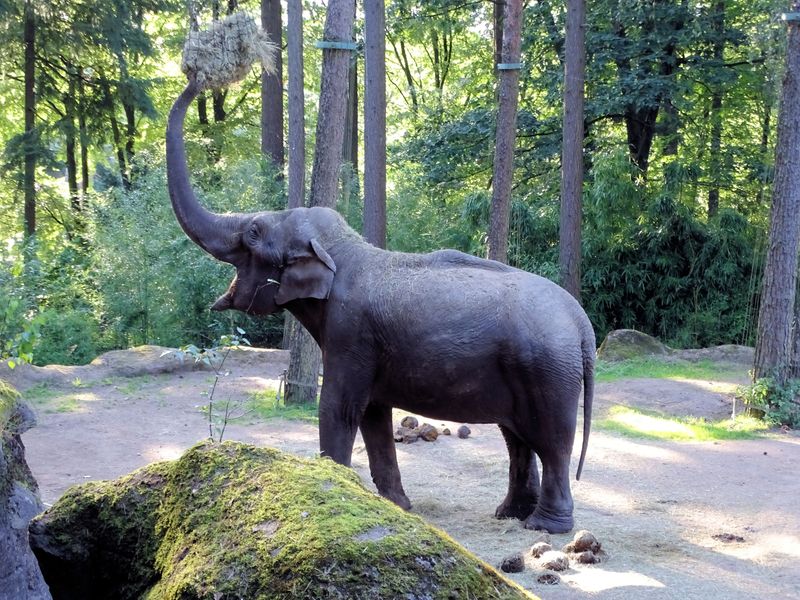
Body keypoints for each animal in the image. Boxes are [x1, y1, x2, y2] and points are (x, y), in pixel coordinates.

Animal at [166, 80, 595, 534]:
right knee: (517, 436)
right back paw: (511, 514)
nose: (197, 78)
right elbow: (373, 413)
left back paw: (544, 527)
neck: (343, 248)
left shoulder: (350, 332)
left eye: (252, 231)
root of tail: (581, 323)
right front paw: (398, 507)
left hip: (547, 371)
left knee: (551, 442)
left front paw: (337, 490)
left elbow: (339, 407)